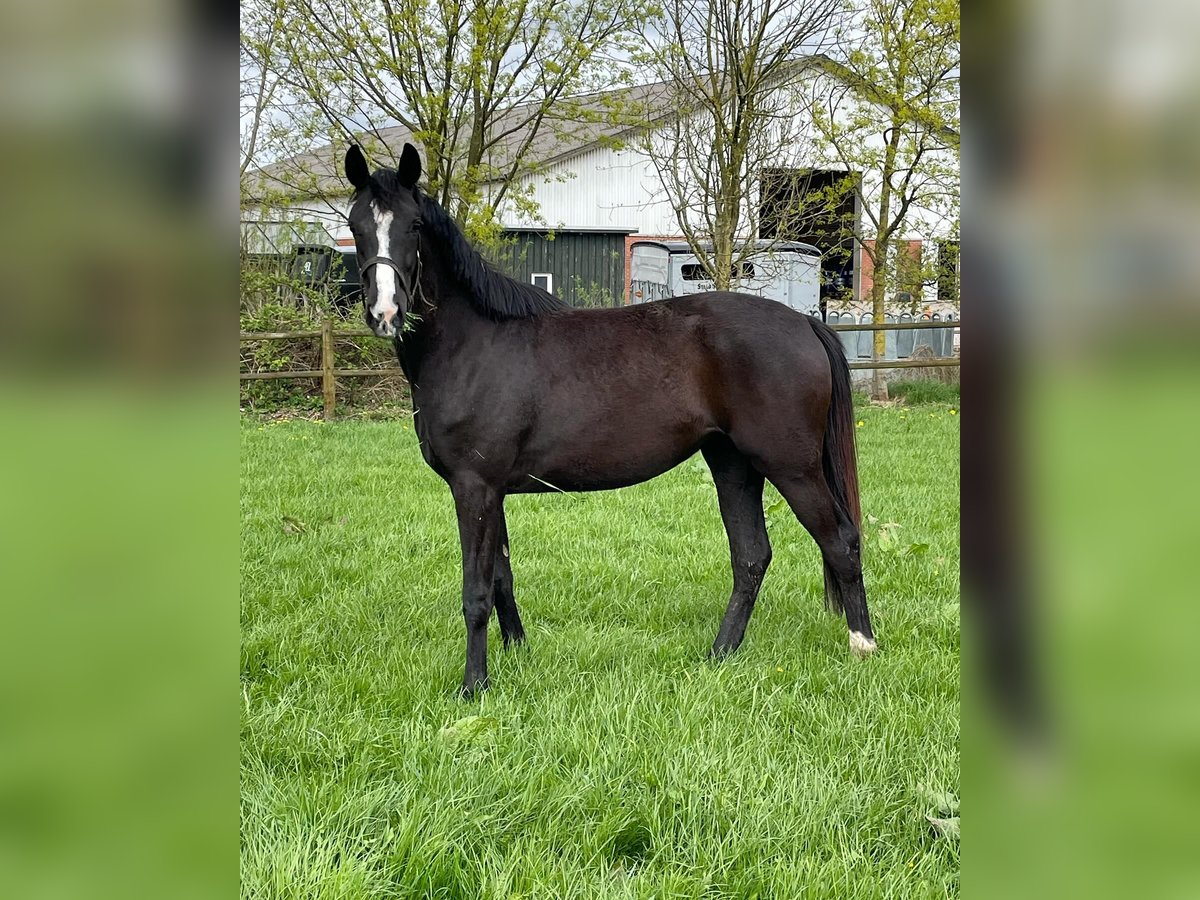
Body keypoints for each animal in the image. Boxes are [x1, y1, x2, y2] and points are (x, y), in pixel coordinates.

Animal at [343, 146, 878, 696]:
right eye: (355, 224)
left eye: (413, 224)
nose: (384, 312)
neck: (474, 344)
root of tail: (806, 323)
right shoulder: (492, 491)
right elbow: (500, 579)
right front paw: (516, 653)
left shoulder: (474, 487)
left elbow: (475, 592)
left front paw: (474, 686)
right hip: (733, 463)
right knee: (751, 557)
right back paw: (719, 654)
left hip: (792, 467)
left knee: (841, 541)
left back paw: (862, 645)